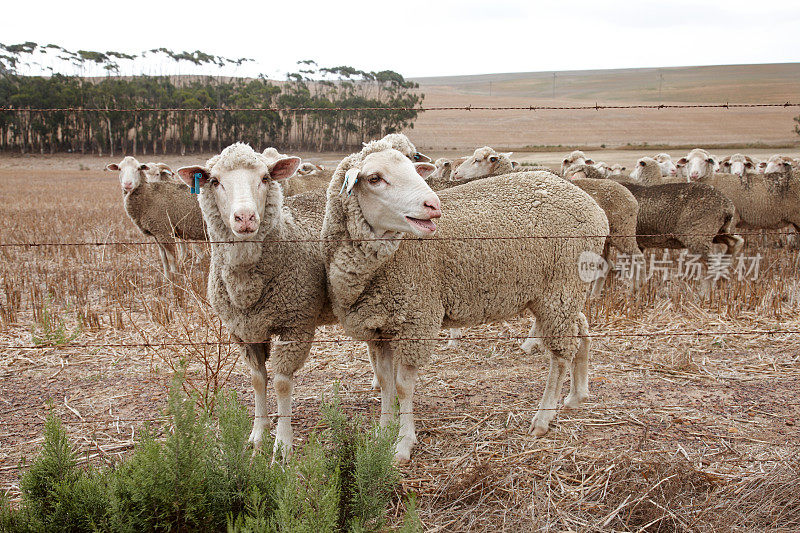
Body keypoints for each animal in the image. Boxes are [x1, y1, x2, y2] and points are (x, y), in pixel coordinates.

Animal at [173, 135, 424, 456]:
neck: (247, 287)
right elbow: (257, 380)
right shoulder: (244, 332)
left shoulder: (295, 325)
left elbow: (281, 384)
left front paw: (282, 444)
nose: (245, 217)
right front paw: (257, 434)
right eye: (215, 181)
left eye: (265, 178)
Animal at [322, 141, 608, 462]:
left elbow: (403, 386)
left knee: (560, 354)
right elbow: (385, 383)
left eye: (413, 169)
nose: (433, 205)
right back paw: (577, 395)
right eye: (374, 178)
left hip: (561, 287)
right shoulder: (378, 328)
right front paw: (382, 434)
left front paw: (403, 444)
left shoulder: (416, 320)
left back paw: (543, 418)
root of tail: (594, 207)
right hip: (565, 291)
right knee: (581, 329)